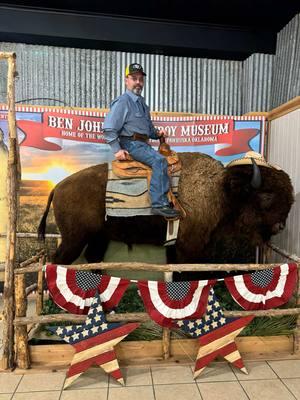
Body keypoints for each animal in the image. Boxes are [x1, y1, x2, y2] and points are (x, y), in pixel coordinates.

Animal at [38, 152, 292, 276]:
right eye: (267, 195)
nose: (280, 226)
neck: (220, 189)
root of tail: (57, 186)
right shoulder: (190, 248)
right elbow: (189, 273)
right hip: (74, 239)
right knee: (58, 261)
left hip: (97, 237)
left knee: (92, 259)